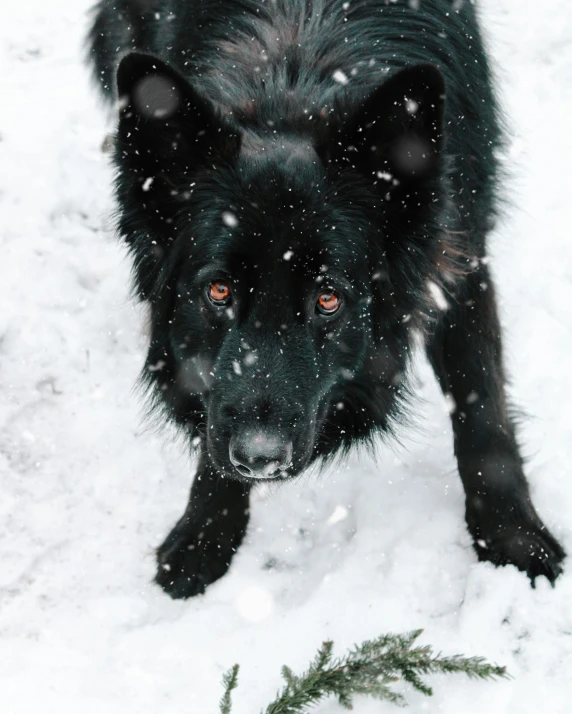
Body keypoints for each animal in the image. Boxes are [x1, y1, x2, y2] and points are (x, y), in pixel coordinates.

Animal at [87, 0, 564, 596]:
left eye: (328, 300)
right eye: (218, 291)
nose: (259, 459)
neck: (295, 78)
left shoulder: (459, 254)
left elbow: (481, 401)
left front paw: (512, 536)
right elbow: (212, 398)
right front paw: (207, 528)